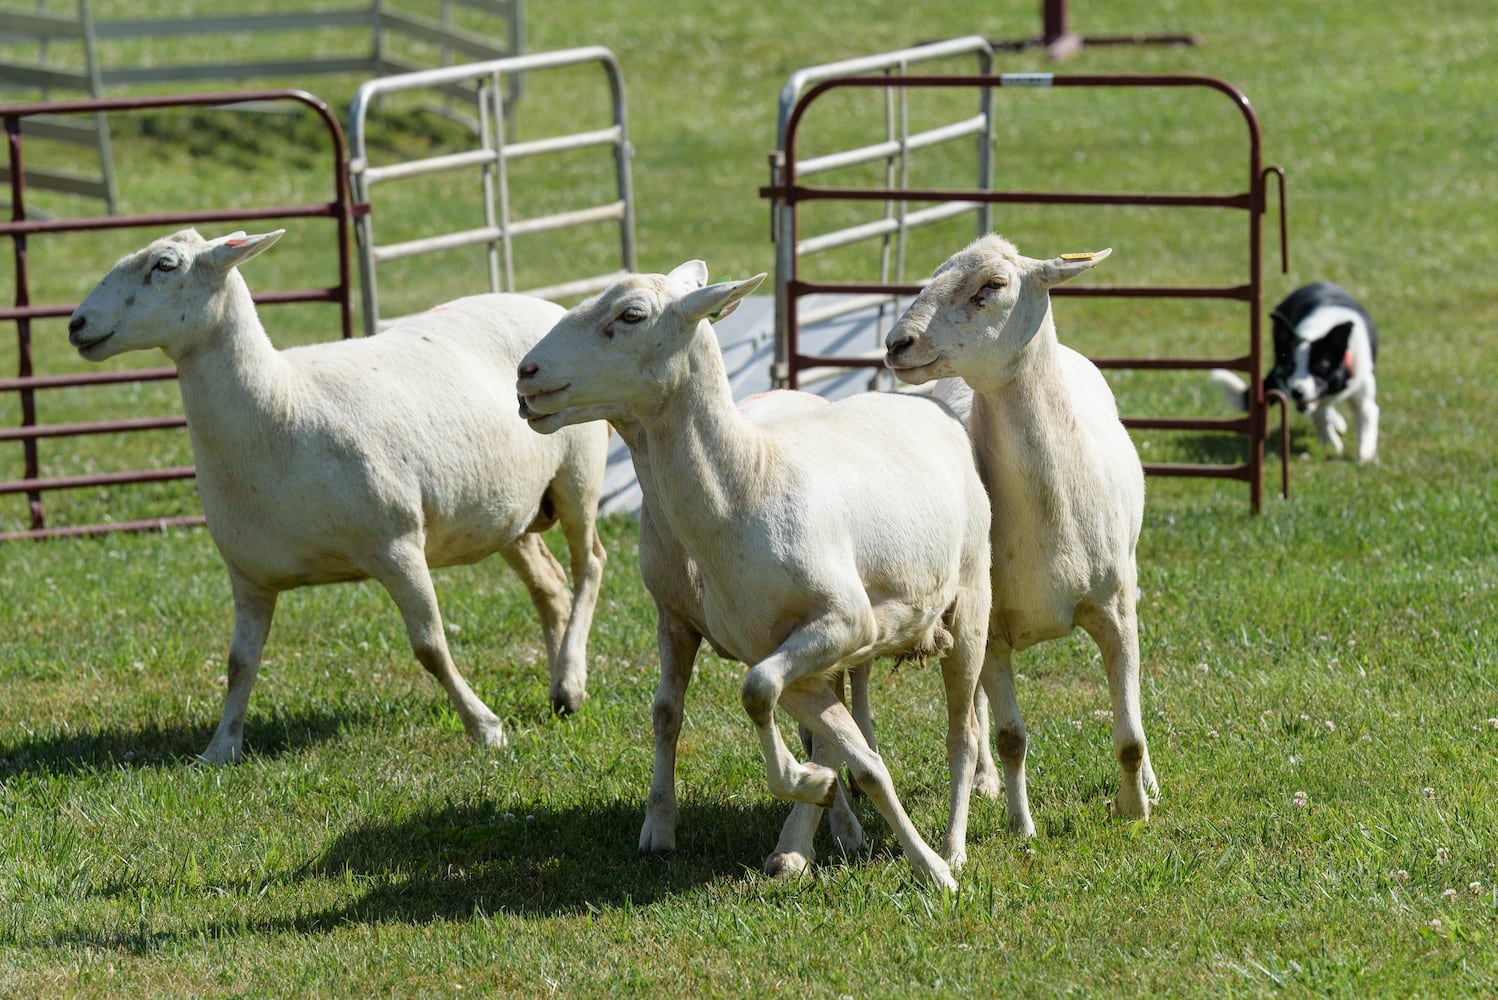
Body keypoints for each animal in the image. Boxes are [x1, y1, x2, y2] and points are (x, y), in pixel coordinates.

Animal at [70, 232, 608, 766]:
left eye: (164, 265)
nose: (76, 324)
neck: (280, 403)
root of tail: (540, 304)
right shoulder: (248, 573)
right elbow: (239, 662)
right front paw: (220, 748)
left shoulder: (397, 546)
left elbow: (430, 647)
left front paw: (485, 727)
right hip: (505, 511)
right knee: (549, 585)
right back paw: (560, 689)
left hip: (578, 473)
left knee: (589, 565)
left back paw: (572, 680)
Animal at [515, 260, 994, 892]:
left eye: (631, 315)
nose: (525, 373)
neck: (748, 481)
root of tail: (918, 402)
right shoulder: (781, 646)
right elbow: (838, 746)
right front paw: (821, 790)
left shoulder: (842, 623)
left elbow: (759, 692)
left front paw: (934, 869)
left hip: (971, 600)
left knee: (962, 731)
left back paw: (956, 845)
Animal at [886, 230, 1156, 832]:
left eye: (993, 284)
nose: (896, 343)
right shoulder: (993, 632)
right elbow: (1011, 737)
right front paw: (1021, 826)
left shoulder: (1115, 609)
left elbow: (1129, 734)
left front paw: (1134, 808)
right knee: (978, 708)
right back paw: (984, 779)